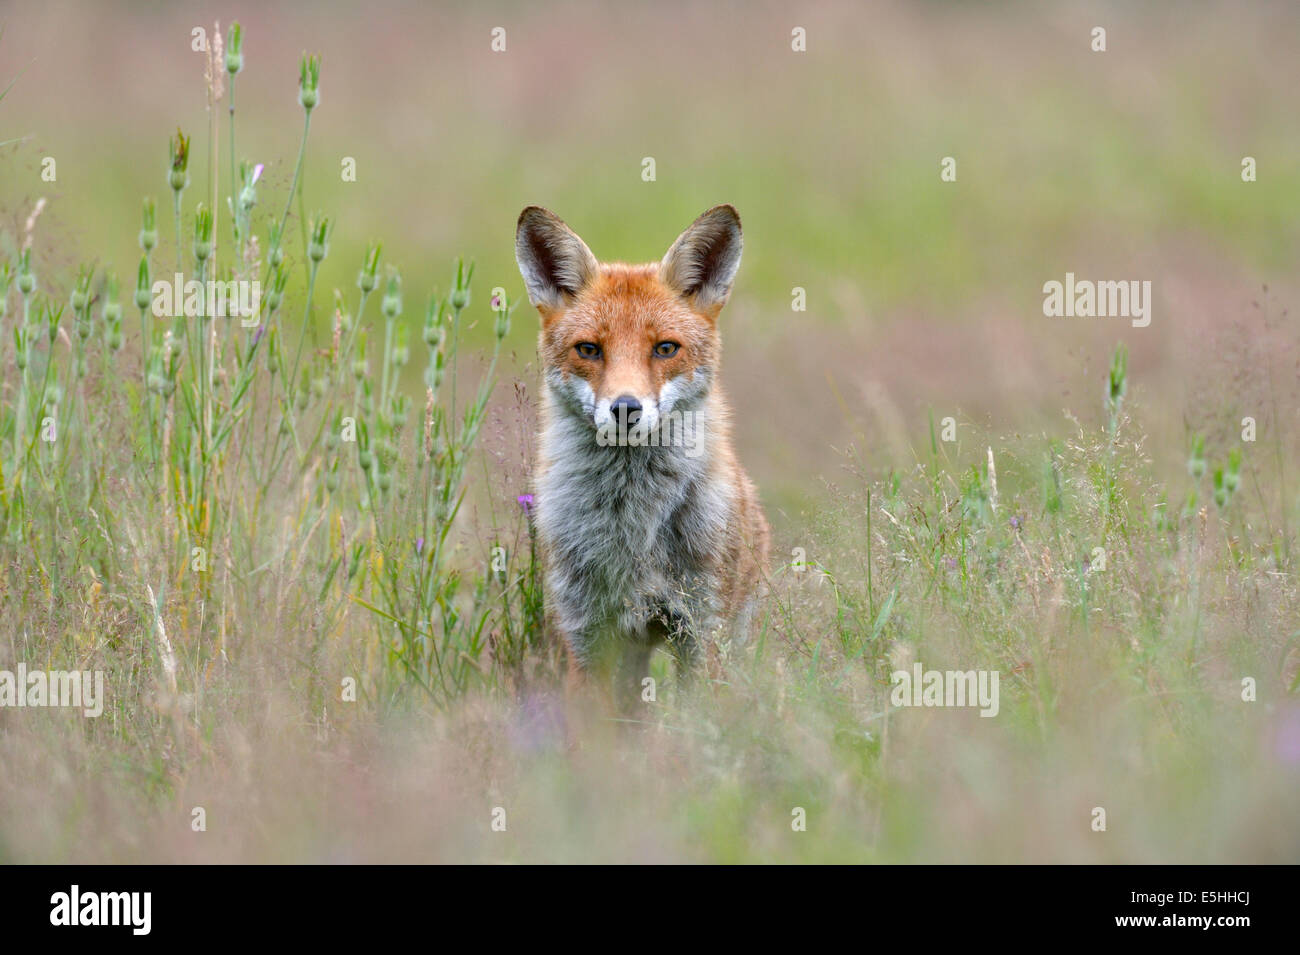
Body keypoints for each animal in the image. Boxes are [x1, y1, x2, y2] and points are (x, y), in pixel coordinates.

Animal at [515, 204, 771, 684]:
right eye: (589, 349)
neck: (634, 520)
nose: (625, 408)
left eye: (665, 348)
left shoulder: (701, 627)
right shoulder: (586, 634)